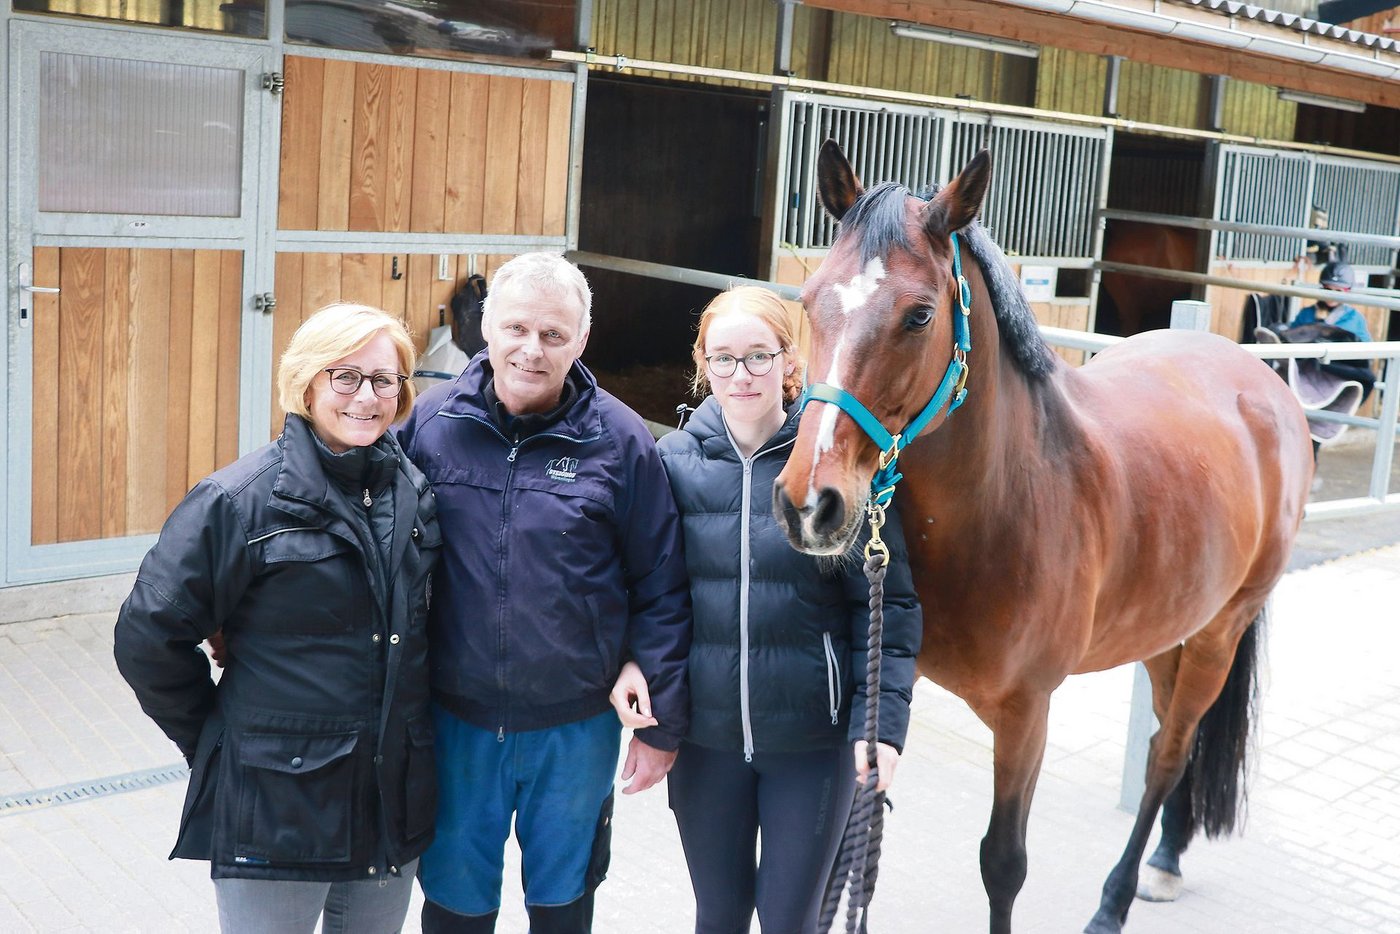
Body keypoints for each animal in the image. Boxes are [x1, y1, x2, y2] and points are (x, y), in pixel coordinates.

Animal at [772, 141, 1315, 934]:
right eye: (810, 301)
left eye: (919, 315)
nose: (808, 503)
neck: (1006, 498)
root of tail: (1264, 383)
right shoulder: (888, 679)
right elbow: (846, 836)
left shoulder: (1027, 713)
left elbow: (1003, 864)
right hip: (1168, 628)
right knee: (1168, 737)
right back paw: (1168, 856)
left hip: (1220, 630)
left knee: (1169, 753)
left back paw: (1118, 899)